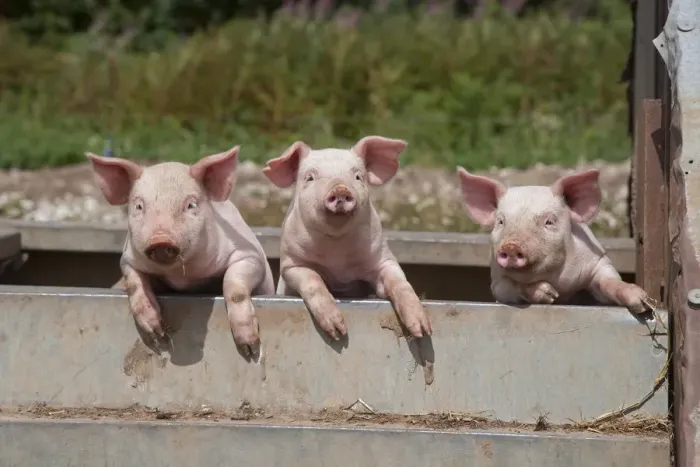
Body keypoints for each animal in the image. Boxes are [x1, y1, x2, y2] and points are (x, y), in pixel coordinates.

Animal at [87, 147, 275, 357]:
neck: (182, 278)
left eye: (191, 205)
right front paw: (157, 334)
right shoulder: (128, 260)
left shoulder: (250, 255)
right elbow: (135, 285)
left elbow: (233, 288)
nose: (160, 239)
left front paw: (250, 349)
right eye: (139, 206)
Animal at [262, 136, 432, 340]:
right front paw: (338, 332)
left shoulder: (383, 259)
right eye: (310, 177)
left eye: (358, 177)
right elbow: (313, 281)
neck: (338, 260)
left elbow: (400, 283)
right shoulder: (291, 264)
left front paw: (423, 331)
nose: (340, 189)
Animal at [456, 166, 652, 313]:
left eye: (549, 221)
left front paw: (643, 302)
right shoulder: (497, 281)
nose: (511, 245)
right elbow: (511, 287)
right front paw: (549, 294)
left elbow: (609, 282)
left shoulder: (599, 262)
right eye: (501, 221)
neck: (559, 283)